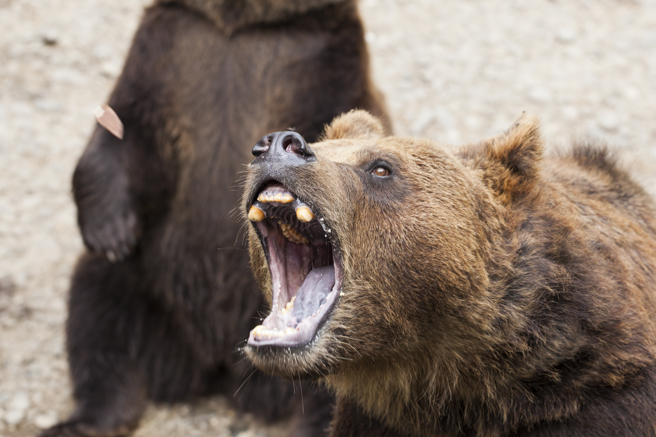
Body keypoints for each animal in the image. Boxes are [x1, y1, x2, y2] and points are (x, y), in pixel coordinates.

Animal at [44, 1, 390, 434]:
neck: (236, 27)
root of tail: (220, 364)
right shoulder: (165, 54)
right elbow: (126, 130)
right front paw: (110, 232)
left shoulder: (325, 63)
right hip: (147, 284)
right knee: (98, 311)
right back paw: (88, 418)